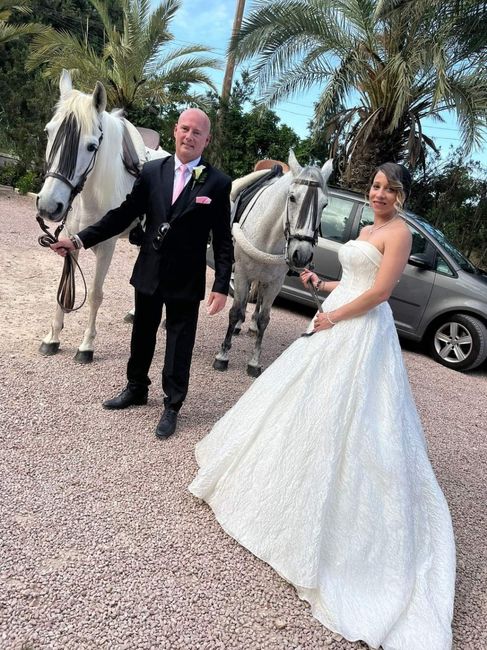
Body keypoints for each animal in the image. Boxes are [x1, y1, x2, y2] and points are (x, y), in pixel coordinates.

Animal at [36, 72, 170, 364]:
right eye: (49, 132)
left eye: (91, 146)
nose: (50, 205)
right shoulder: (69, 241)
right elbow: (63, 289)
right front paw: (52, 338)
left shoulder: (107, 246)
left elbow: (96, 295)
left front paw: (86, 345)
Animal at [214, 151, 334, 374]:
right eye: (292, 197)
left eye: (324, 204)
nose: (302, 255)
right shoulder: (241, 273)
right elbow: (234, 311)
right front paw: (223, 355)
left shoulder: (275, 283)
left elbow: (264, 319)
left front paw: (254, 362)